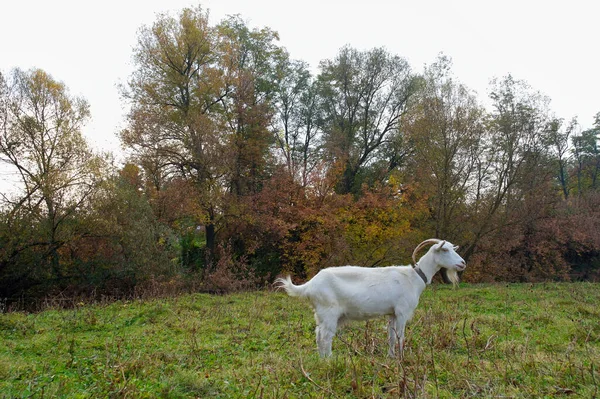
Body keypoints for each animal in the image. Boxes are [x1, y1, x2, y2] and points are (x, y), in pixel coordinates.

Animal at [274, 239, 466, 358]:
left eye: (452, 248)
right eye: (445, 250)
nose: (462, 263)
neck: (414, 277)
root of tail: (310, 284)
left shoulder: (392, 313)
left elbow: (391, 336)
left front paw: (391, 357)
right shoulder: (402, 312)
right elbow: (400, 337)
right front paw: (402, 359)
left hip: (321, 315)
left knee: (318, 334)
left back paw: (322, 359)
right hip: (328, 312)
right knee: (325, 337)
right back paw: (329, 360)